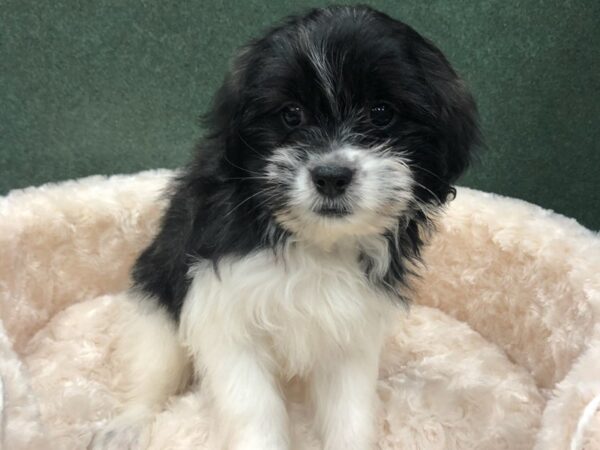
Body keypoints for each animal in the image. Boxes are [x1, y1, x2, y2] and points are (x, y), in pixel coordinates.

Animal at [90, 4, 478, 450]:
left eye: (381, 114)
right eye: (291, 114)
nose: (331, 176)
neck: (315, 241)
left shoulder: (350, 324)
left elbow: (350, 410)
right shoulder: (225, 312)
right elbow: (253, 409)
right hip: (157, 300)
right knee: (154, 367)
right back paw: (129, 424)